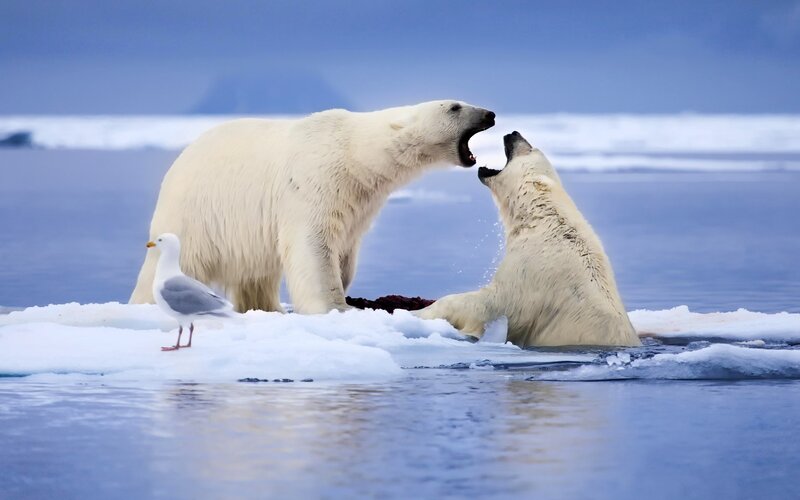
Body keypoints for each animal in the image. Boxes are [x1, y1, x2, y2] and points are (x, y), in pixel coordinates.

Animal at [129, 101, 496, 314]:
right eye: (454, 106)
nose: (490, 113)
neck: (354, 154)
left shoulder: (358, 201)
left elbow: (346, 250)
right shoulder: (314, 183)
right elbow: (313, 247)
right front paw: (335, 306)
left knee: (257, 275)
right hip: (195, 214)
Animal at [416, 131, 640, 347]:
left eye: (530, 149)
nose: (514, 133)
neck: (544, 219)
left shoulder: (530, 272)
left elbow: (491, 303)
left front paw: (419, 312)